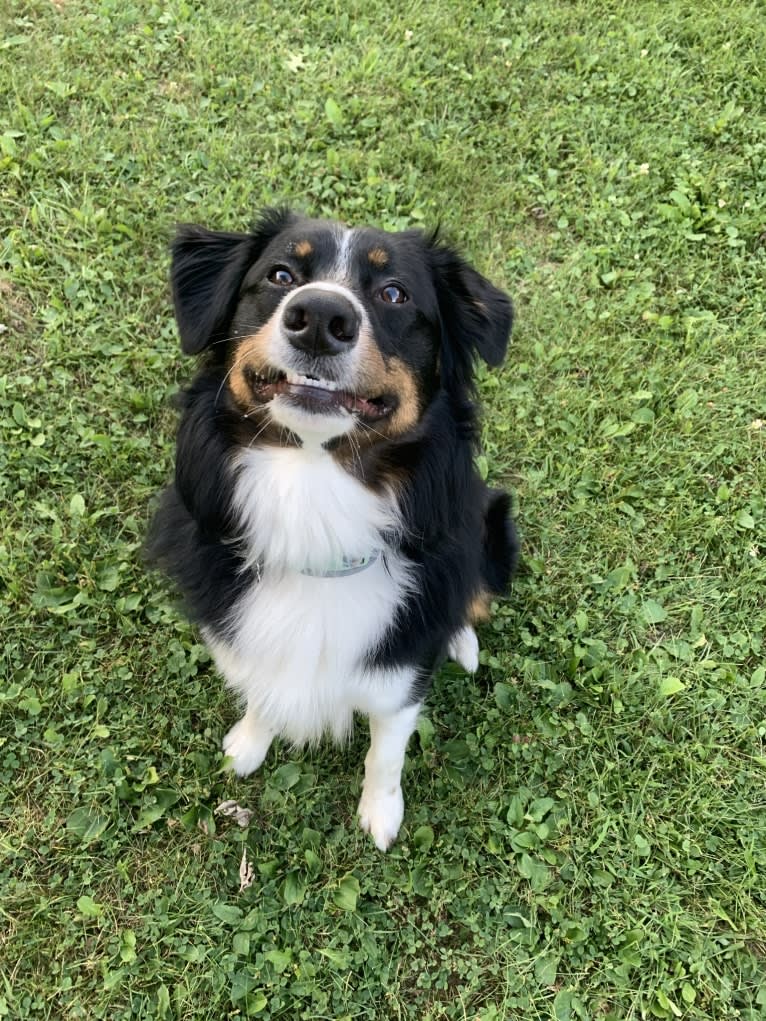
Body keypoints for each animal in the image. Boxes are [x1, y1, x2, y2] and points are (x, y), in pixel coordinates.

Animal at [148, 205, 522, 845]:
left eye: (394, 293)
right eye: (279, 275)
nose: (321, 317)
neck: (312, 494)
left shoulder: (399, 674)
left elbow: (385, 754)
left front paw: (381, 815)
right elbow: (263, 693)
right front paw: (248, 744)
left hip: (489, 519)